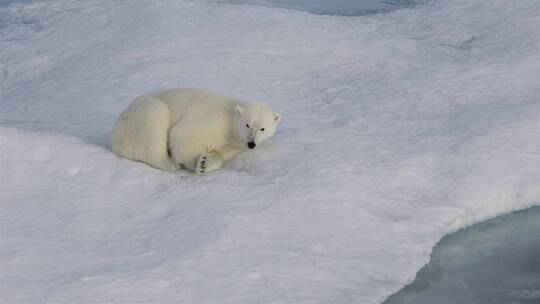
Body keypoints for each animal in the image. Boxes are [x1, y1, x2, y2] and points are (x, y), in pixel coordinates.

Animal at [110, 88, 282, 173]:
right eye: (247, 125)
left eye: (262, 128)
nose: (251, 143)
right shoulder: (211, 119)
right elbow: (183, 134)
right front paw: (194, 163)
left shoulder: (233, 145)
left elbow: (221, 153)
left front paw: (205, 163)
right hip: (143, 113)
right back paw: (170, 164)